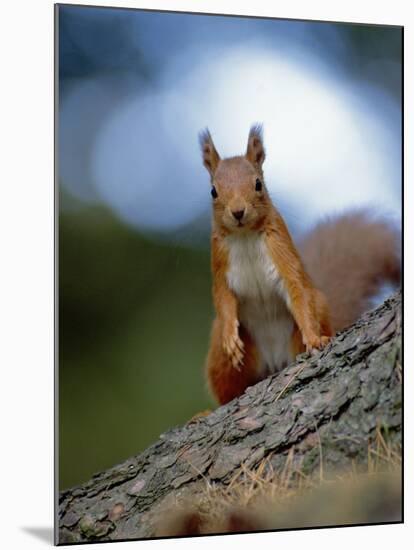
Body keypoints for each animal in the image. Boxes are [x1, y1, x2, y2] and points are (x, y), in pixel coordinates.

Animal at [201, 126, 402, 410]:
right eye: (213, 192)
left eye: (258, 184)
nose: (238, 212)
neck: (244, 236)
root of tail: (274, 363)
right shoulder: (219, 263)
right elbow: (223, 299)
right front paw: (231, 337)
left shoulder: (281, 250)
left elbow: (297, 289)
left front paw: (315, 339)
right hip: (221, 359)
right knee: (228, 392)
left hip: (307, 322)